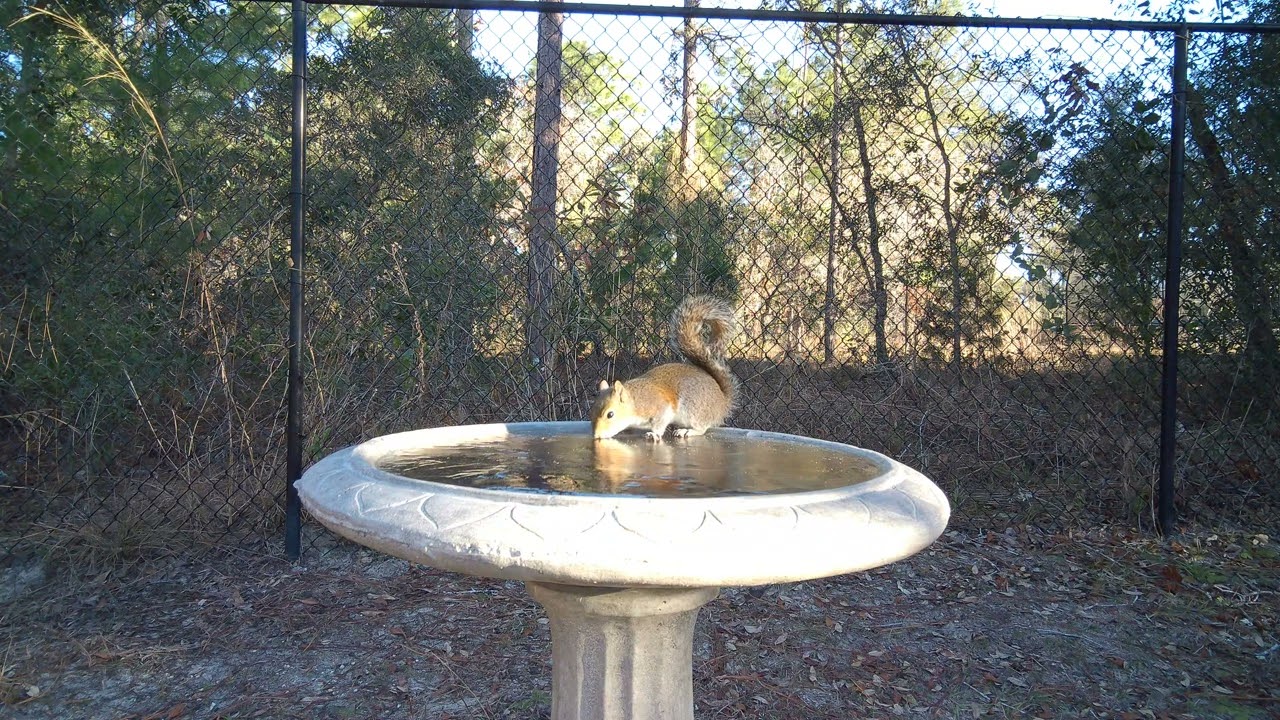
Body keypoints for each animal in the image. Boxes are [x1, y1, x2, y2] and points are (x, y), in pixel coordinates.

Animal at [591, 295, 739, 441]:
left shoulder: (660, 408)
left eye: (610, 414)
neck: (635, 402)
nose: (596, 435)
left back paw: (687, 431)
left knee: (702, 428)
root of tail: (722, 403)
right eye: (592, 410)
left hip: (693, 410)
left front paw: (654, 434)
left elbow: (659, 424)